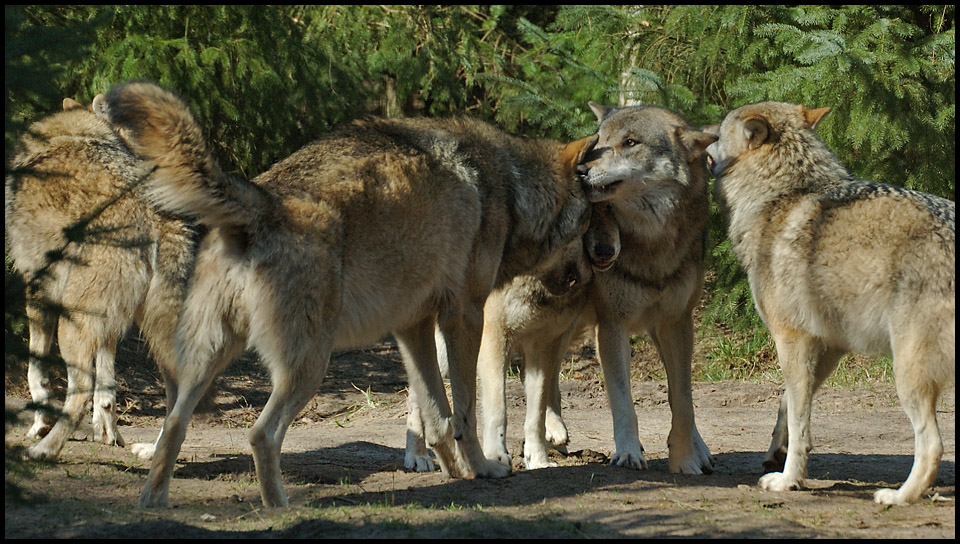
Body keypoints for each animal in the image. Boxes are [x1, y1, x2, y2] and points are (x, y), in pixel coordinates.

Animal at [4, 96, 197, 460]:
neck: (77, 134)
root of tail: (154, 217)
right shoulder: (109, 325)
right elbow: (107, 383)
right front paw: (107, 432)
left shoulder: (37, 290)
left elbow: (37, 373)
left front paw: (39, 426)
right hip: (153, 333)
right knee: (182, 393)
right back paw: (153, 453)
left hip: (72, 325)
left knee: (78, 391)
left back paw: (45, 450)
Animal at [95, 83, 592, 508]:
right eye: (592, 220)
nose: (597, 264)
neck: (510, 187)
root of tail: (263, 203)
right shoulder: (465, 317)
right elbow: (466, 413)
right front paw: (484, 468)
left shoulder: (412, 326)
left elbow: (437, 417)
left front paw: (454, 471)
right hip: (309, 366)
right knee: (261, 434)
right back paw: (280, 507)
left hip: (206, 361)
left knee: (173, 426)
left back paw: (154, 501)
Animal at [468, 103, 716, 476]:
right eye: (600, 141)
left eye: (630, 142)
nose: (584, 170)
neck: (652, 250)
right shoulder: (611, 324)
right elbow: (623, 400)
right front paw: (628, 453)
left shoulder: (676, 322)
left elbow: (682, 398)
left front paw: (686, 458)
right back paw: (552, 432)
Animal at [704, 101, 952, 506]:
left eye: (719, 128)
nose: (701, 130)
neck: (781, 193)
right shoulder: (829, 347)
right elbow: (788, 406)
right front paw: (776, 452)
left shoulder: (792, 339)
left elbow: (798, 421)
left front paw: (788, 480)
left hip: (908, 376)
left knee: (931, 446)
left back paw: (896, 497)